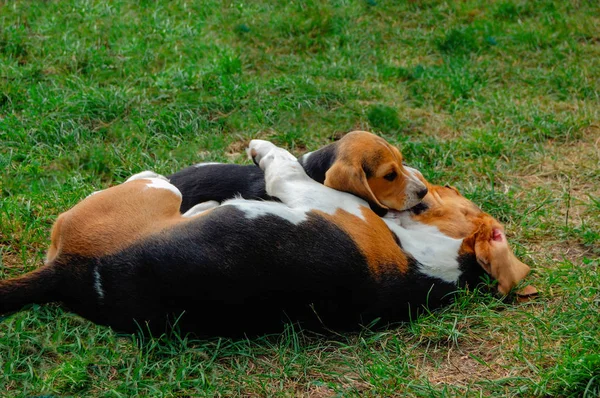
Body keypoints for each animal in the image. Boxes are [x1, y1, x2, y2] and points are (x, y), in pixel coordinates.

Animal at [0, 138, 536, 338]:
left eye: (448, 192)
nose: (426, 181)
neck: (428, 260)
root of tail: (67, 270)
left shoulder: (315, 197)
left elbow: (286, 169)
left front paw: (265, 149)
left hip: (153, 190)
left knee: (154, 183)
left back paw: (202, 206)